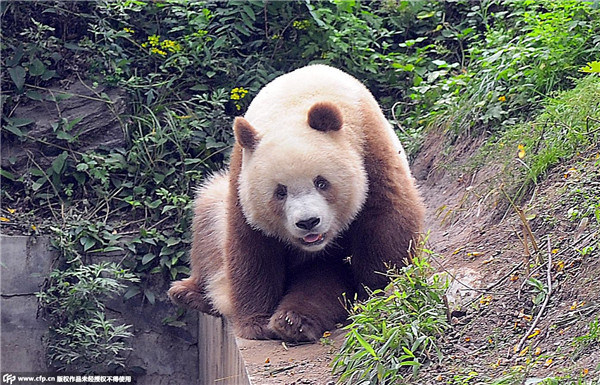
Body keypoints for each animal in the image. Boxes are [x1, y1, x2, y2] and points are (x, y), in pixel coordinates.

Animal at [166, 63, 424, 342]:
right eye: (280, 192)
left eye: (321, 182)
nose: (308, 222)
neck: (296, 103)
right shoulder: (241, 176)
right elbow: (252, 246)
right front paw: (256, 323)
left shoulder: (370, 148)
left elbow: (385, 219)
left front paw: (379, 291)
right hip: (215, 211)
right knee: (206, 220)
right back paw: (190, 294)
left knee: (320, 281)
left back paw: (293, 321)